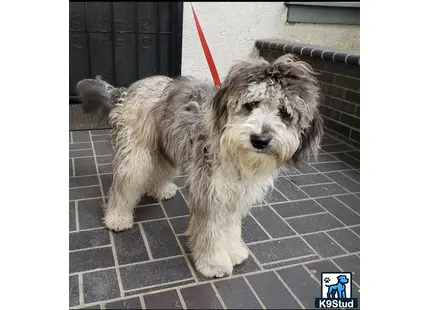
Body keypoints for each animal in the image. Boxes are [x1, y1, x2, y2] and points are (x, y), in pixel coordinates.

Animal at [76, 54, 322, 278]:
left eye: (284, 112)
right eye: (251, 104)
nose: (260, 140)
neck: (233, 151)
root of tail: (128, 90)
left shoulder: (235, 194)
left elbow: (230, 227)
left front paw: (233, 250)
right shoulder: (210, 191)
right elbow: (210, 231)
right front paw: (213, 263)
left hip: (166, 145)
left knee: (160, 170)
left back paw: (161, 190)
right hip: (136, 154)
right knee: (125, 183)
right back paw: (117, 218)